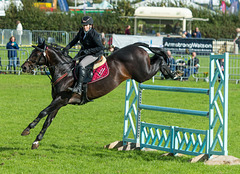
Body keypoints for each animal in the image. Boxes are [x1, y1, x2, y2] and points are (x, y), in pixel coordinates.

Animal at [20, 40, 178, 148]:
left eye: (36, 54)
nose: (24, 67)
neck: (64, 70)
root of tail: (136, 46)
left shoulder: (61, 99)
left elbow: (42, 112)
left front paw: (27, 129)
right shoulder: (60, 102)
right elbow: (48, 120)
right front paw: (36, 140)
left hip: (143, 74)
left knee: (159, 59)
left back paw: (171, 72)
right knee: (157, 58)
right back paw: (169, 72)